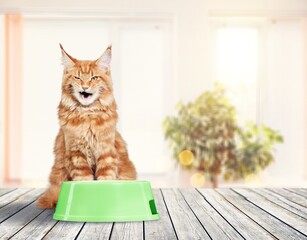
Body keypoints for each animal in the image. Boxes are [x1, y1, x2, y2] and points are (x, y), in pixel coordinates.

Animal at [36, 44, 137, 208]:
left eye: (94, 78)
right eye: (77, 77)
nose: (85, 86)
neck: (87, 114)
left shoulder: (106, 151)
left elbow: (105, 178)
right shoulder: (76, 154)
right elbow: (84, 180)